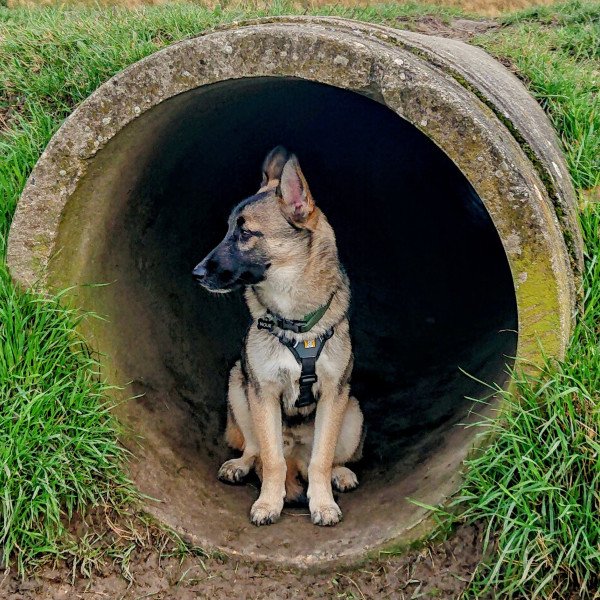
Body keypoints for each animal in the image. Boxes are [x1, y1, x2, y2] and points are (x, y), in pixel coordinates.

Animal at [193, 145, 360, 524]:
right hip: (238, 386)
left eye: (245, 234)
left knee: (326, 459)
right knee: (257, 449)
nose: (196, 273)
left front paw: (322, 504)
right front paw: (269, 503)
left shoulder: (334, 393)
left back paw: (340, 474)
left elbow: (321, 459)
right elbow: (271, 460)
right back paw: (241, 466)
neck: (295, 322)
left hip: (353, 411)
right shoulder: (263, 392)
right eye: (227, 229)